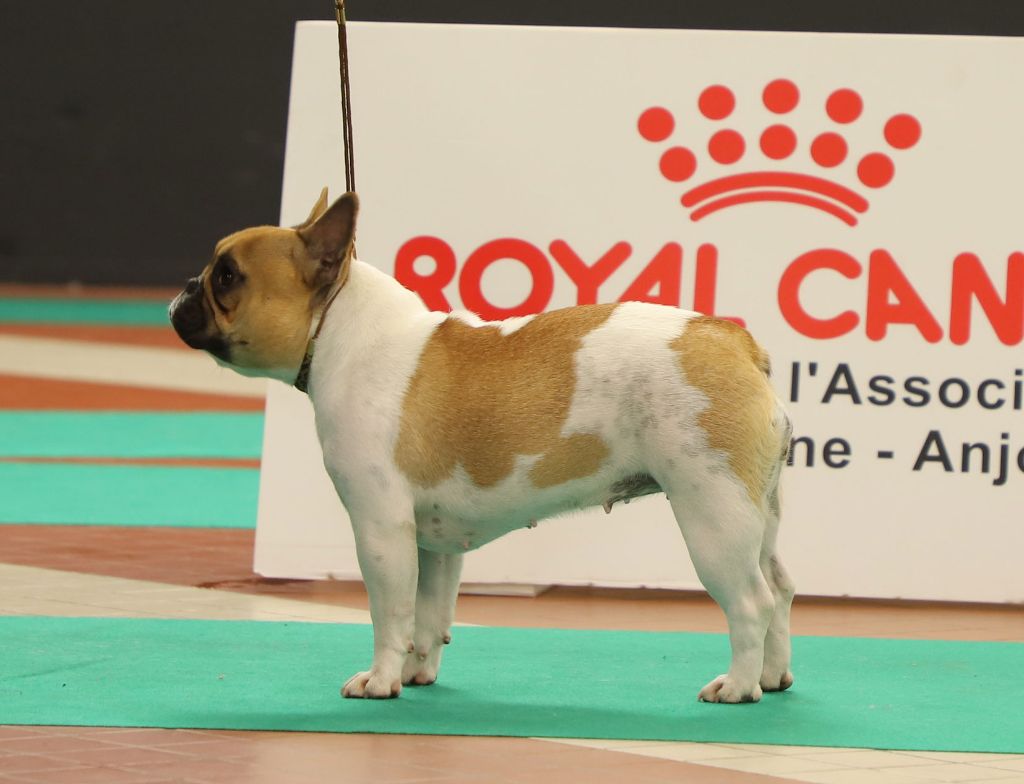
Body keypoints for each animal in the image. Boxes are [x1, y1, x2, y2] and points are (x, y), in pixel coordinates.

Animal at [170, 189, 795, 704]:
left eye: (227, 276)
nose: (185, 289)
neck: (337, 329)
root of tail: (733, 341)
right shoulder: (433, 541)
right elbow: (429, 612)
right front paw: (417, 673)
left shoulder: (380, 527)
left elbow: (390, 612)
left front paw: (380, 680)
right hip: (756, 510)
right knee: (780, 589)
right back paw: (772, 677)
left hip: (713, 513)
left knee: (752, 603)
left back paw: (737, 686)